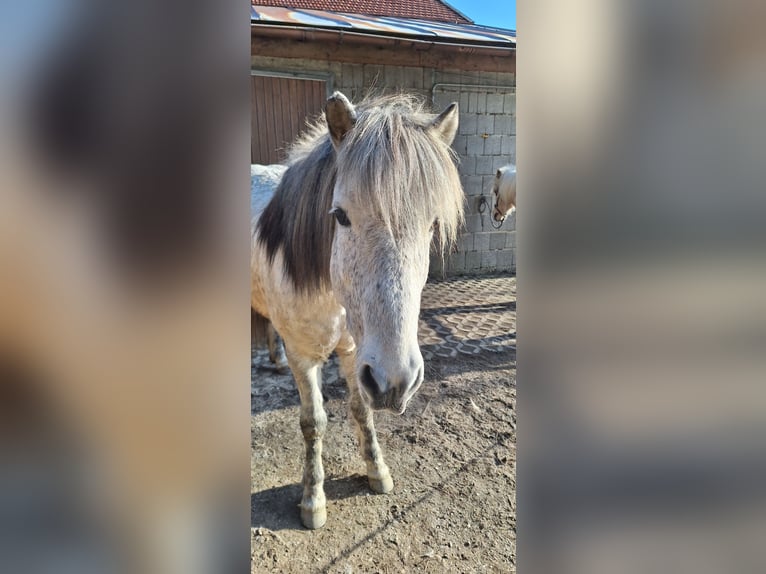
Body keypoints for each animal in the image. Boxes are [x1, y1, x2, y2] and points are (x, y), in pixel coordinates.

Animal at [251, 91, 464, 529]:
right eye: (340, 217)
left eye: (433, 225)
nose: (397, 382)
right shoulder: (304, 359)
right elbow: (313, 423)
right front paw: (313, 499)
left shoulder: (355, 353)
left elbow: (361, 410)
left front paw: (377, 471)